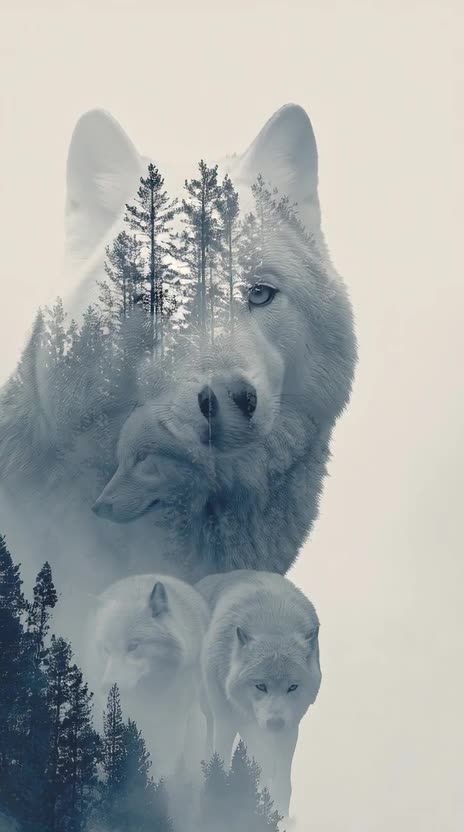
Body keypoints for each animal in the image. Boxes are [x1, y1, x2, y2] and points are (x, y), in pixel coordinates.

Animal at [196, 569, 321, 819]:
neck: (273, 623)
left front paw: (281, 817)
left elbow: (283, 783)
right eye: (260, 686)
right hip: (213, 711)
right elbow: (221, 762)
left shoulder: (291, 726)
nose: (275, 723)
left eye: (293, 687)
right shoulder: (225, 719)